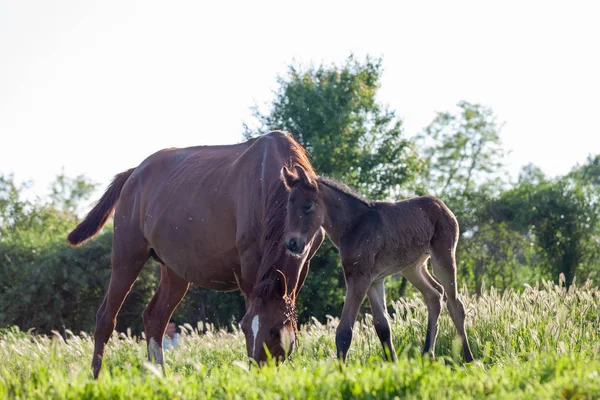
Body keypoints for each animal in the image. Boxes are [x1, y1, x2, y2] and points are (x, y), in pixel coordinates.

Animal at [282, 165, 474, 362]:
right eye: (288, 206)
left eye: (307, 205)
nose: (291, 244)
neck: (353, 226)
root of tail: (441, 204)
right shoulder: (374, 280)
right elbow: (383, 327)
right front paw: (394, 364)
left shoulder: (360, 278)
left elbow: (344, 331)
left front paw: (340, 369)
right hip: (412, 267)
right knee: (434, 295)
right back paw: (428, 354)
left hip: (443, 257)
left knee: (455, 304)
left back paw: (469, 358)